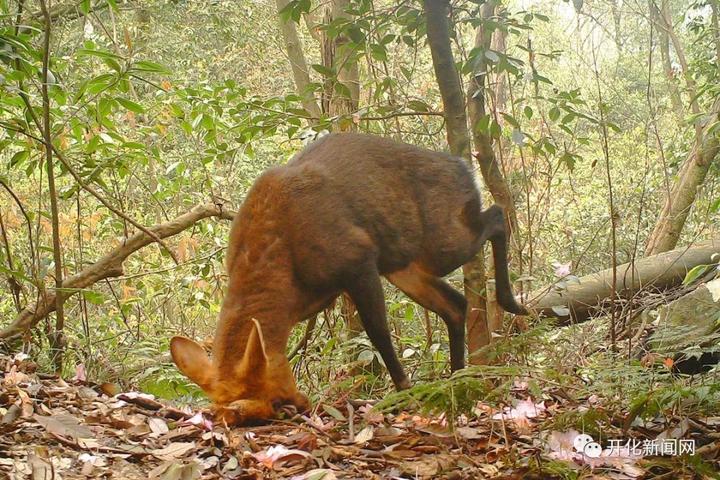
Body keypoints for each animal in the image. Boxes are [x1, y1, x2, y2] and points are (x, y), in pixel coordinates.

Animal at [171, 131, 524, 424]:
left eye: (275, 399)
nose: (302, 405)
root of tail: (463, 167)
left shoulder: (358, 259)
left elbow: (378, 332)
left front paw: (404, 390)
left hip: (439, 242)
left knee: (495, 216)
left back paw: (511, 303)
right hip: (403, 263)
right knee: (455, 304)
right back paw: (455, 380)